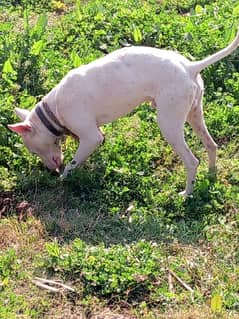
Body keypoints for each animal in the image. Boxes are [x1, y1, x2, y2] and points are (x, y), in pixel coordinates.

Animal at [7, 30, 239, 195]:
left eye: (33, 151)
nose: (50, 171)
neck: (53, 109)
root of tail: (191, 67)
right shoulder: (95, 135)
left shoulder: (91, 137)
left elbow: (72, 165)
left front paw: (63, 180)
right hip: (195, 115)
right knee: (211, 145)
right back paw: (211, 177)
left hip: (169, 125)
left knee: (192, 161)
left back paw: (186, 194)